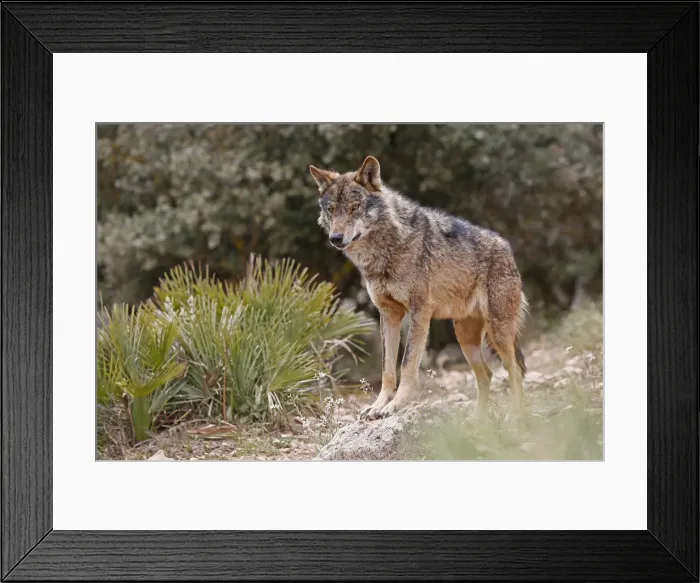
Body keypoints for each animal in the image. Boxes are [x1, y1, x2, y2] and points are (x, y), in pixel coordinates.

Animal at [310, 156, 528, 420]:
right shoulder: (389, 315)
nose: (336, 238)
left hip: (498, 332)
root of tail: (507, 248)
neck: (385, 252)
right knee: (487, 375)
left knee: (515, 371)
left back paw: (514, 416)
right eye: (331, 210)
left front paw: (395, 405)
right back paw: (477, 421)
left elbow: (407, 364)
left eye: (354, 207)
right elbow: (387, 369)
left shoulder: (419, 312)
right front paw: (378, 405)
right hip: (465, 336)